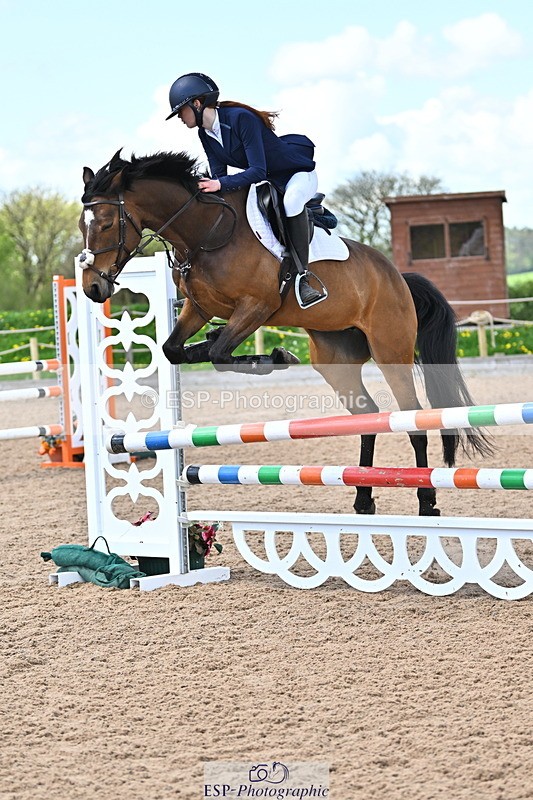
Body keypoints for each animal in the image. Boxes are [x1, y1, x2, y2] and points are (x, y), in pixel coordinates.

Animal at [78, 149, 491, 516]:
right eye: (83, 225)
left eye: (106, 223)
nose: (92, 288)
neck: (206, 231)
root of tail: (398, 278)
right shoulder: (200, 309)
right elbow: (174, 349)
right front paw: (212, 344)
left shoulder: (256, 306)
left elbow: (221, 354)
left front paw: (276, 356)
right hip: (335, 359)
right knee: (368, 415)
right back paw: (362, 497)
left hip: (391, 349)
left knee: (413, 418)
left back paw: (426, 501)